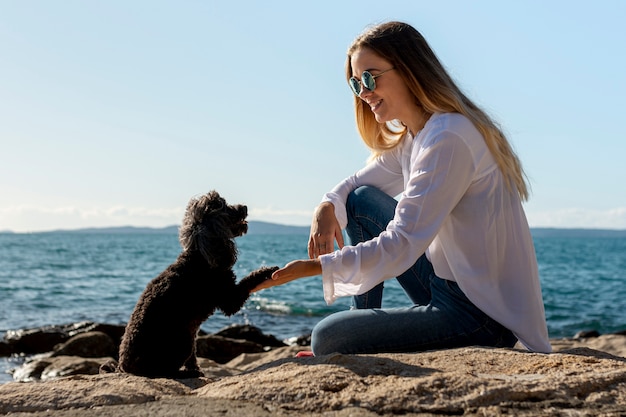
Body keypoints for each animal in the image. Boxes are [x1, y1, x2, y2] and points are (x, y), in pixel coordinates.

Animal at [108, 190, 276, 378]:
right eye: (225, 207)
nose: (245, 207)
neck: (201, 257)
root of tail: (124, 367)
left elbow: (194, 356)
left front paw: (195, 368)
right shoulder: (229, 299)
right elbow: (248, 281)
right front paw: (267, 270)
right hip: (181, 340)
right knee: (166, 371)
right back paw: (185, 374)